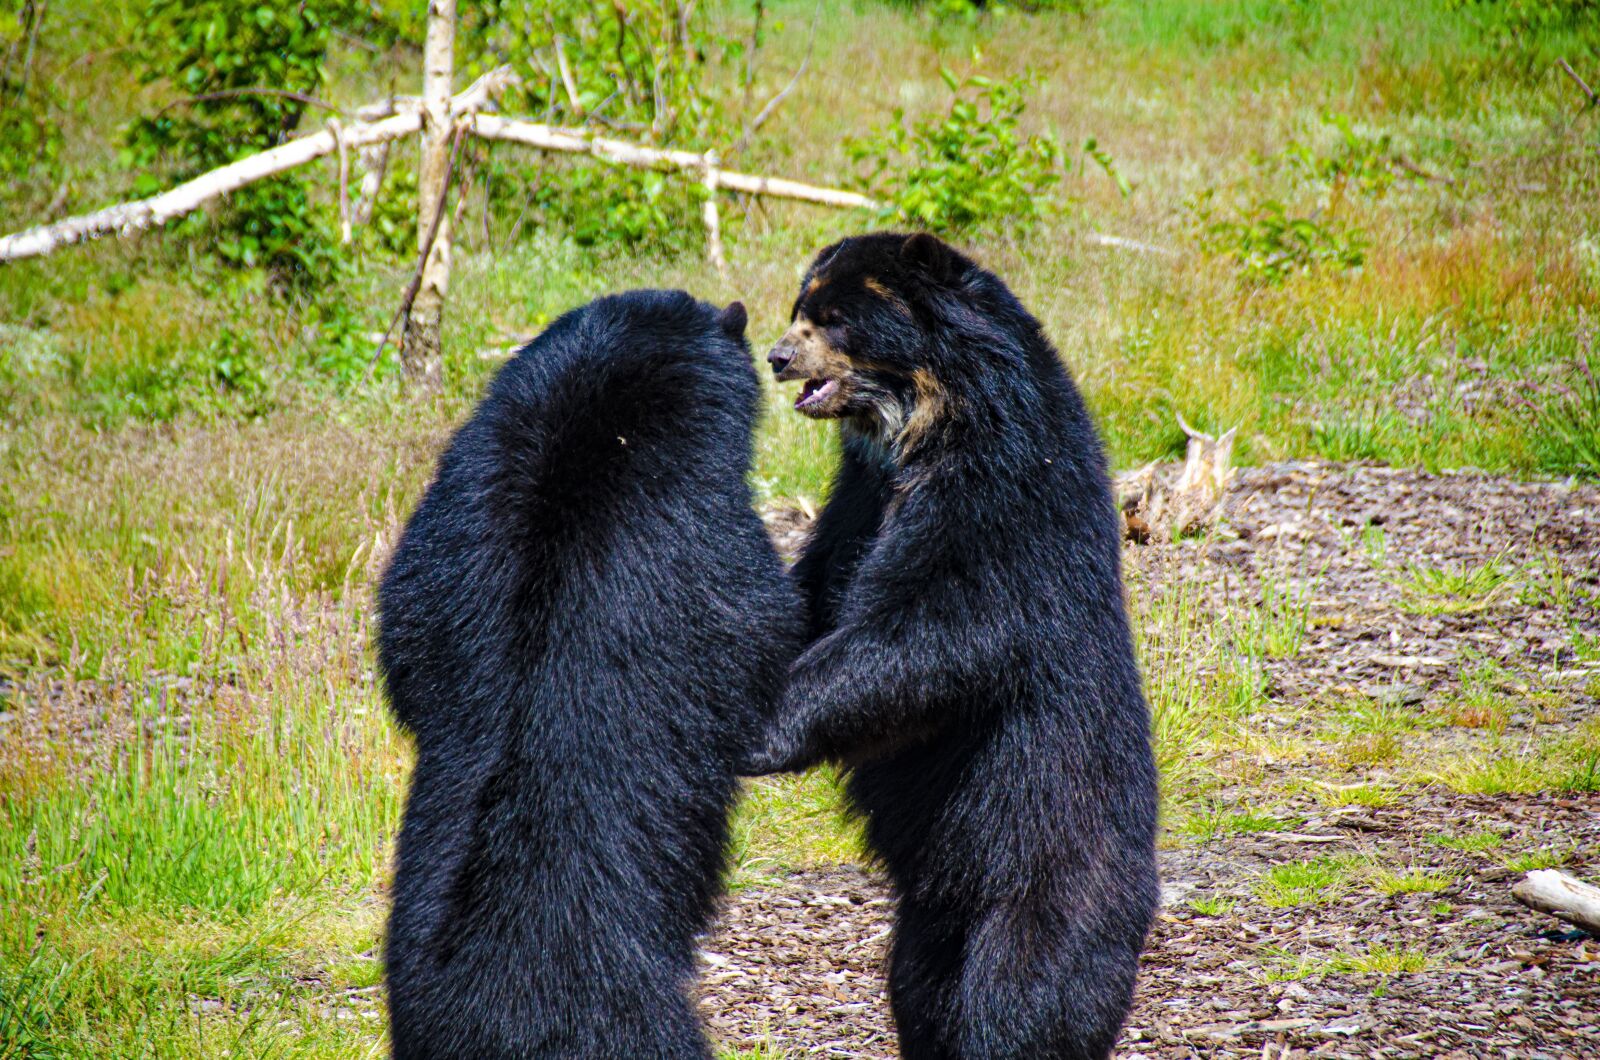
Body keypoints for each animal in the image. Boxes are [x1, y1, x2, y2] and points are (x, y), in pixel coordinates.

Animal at [744, 233, 1160, 1060]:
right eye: (801, 306)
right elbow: (819, 590)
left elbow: (938, 628)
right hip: (934, 910)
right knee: (918, 986)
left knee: (1022, 991)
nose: (777, 357)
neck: (928, 418)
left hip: (1042, 863)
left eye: (834, 318)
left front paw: (766, 726)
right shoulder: (860, 499)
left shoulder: (1005, 493)